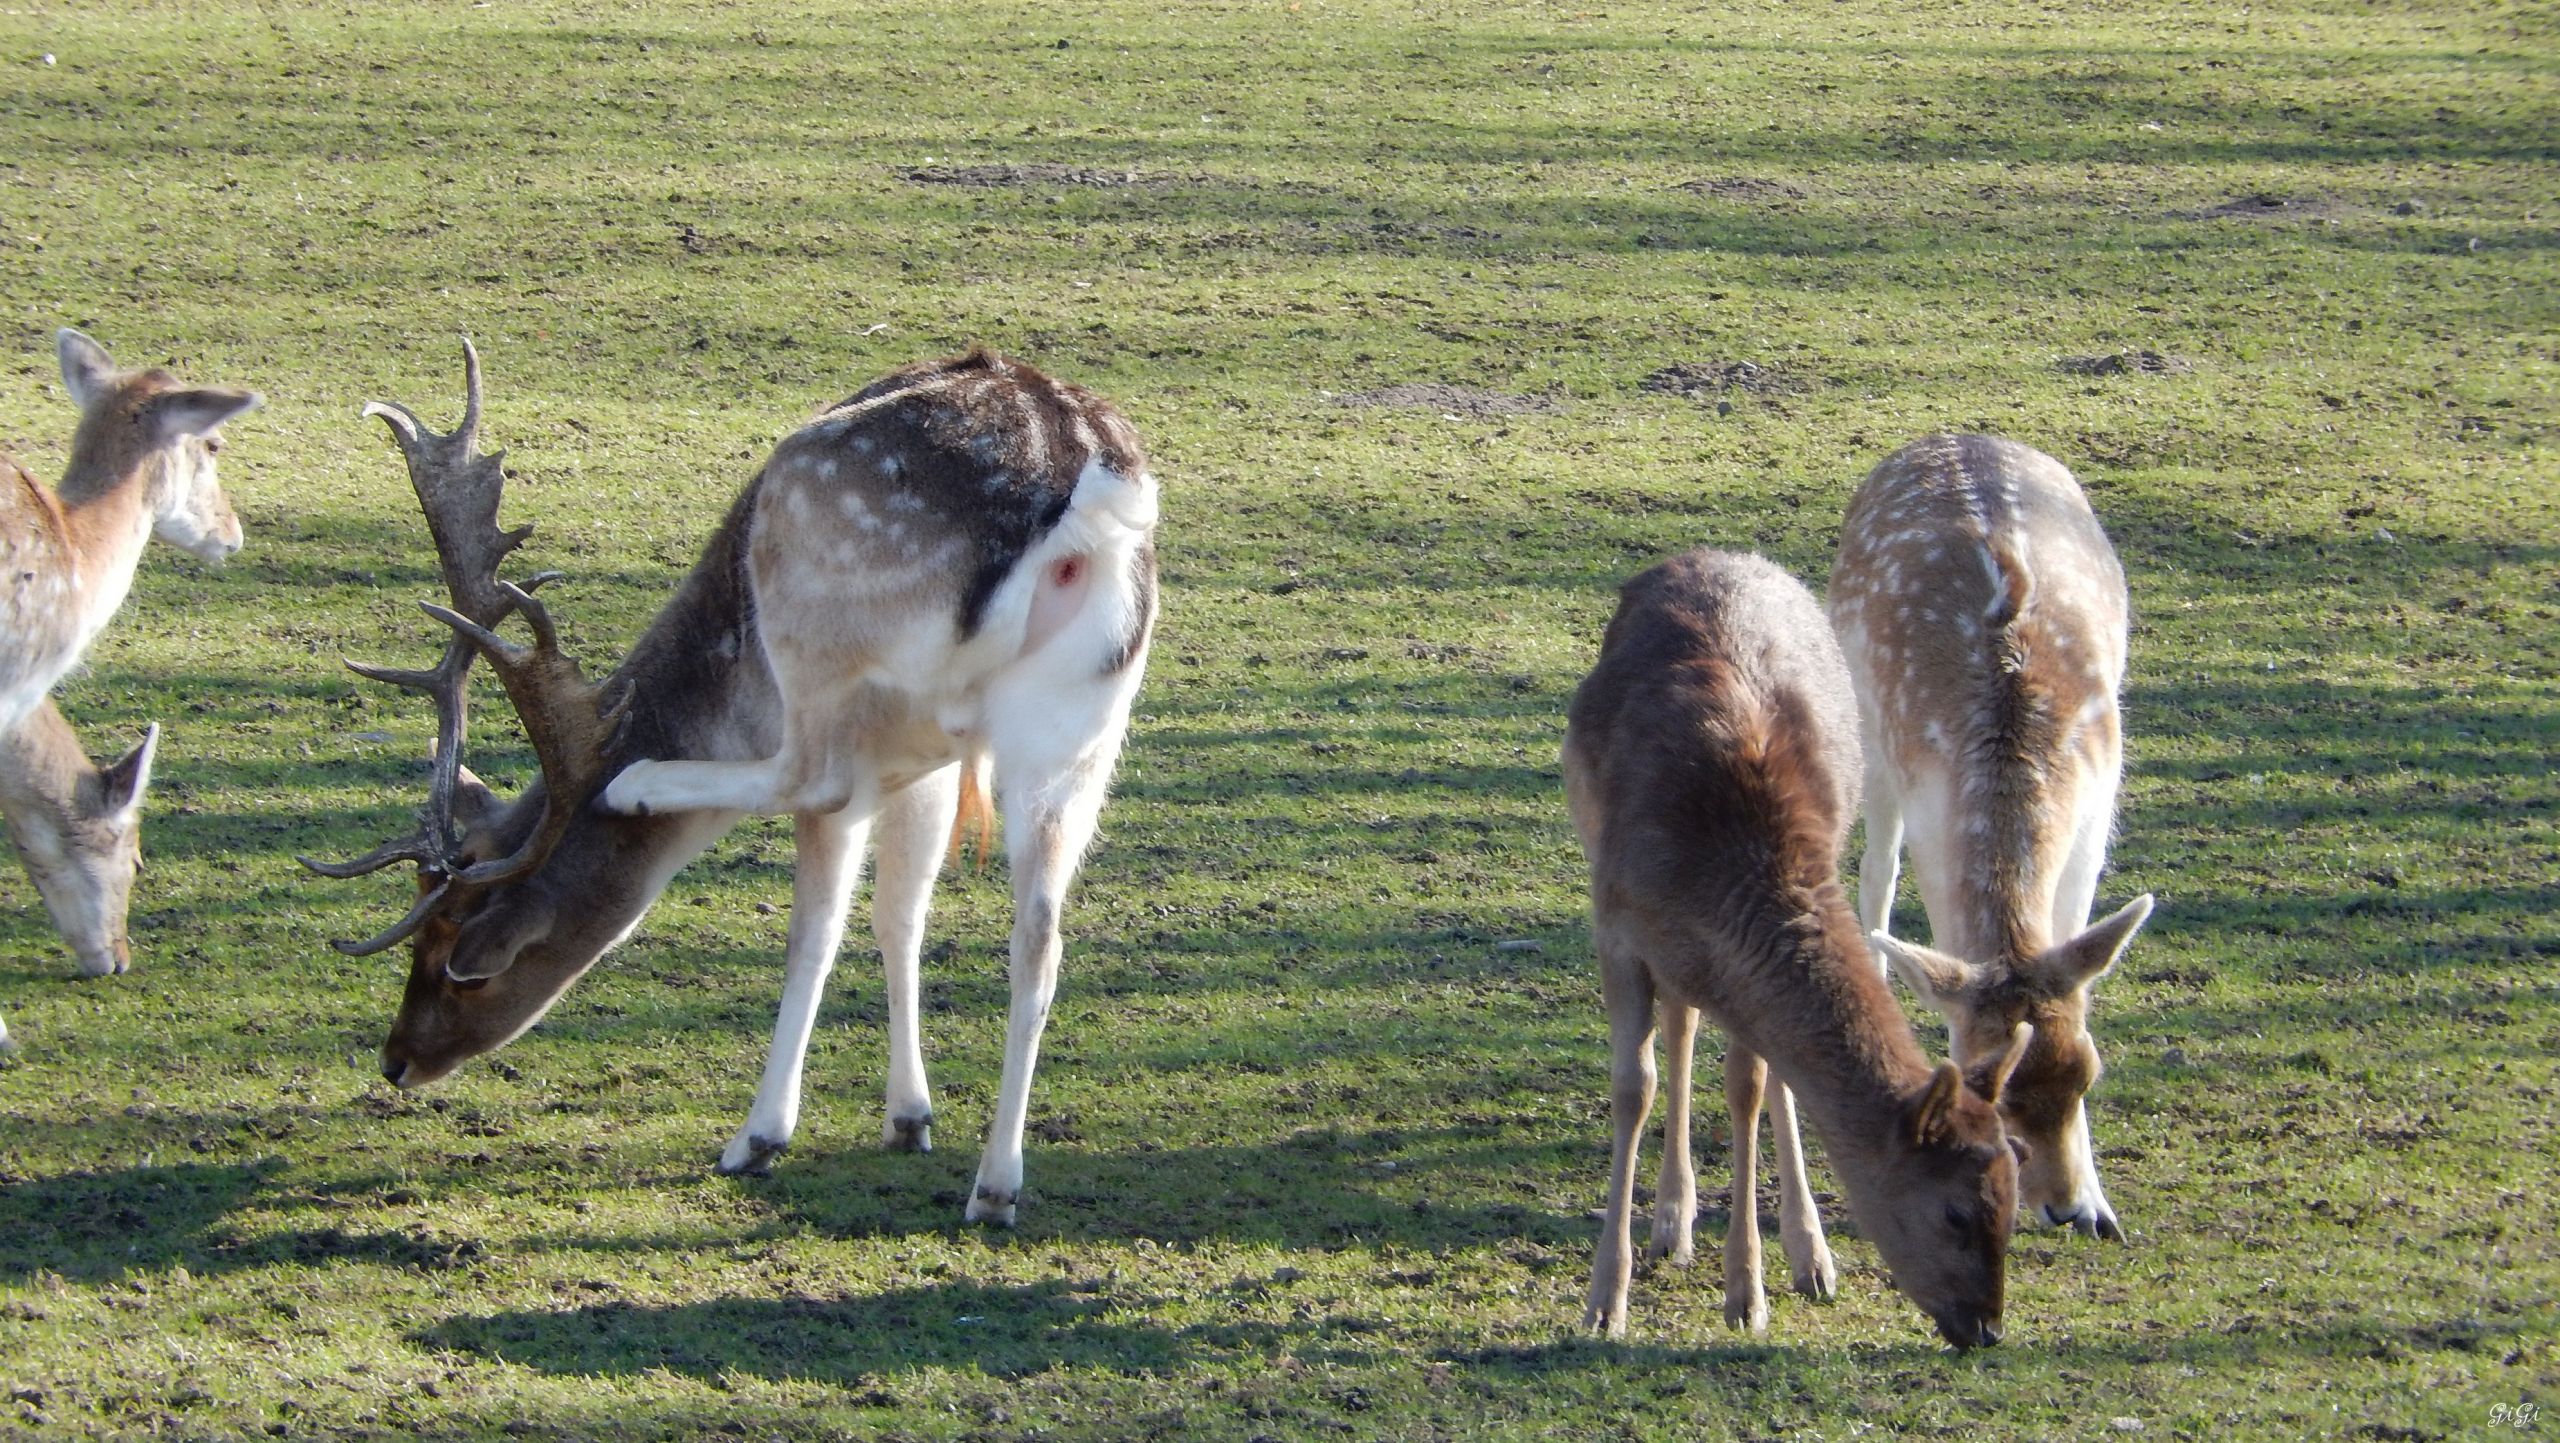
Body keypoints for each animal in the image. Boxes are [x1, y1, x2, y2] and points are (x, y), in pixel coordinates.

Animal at [302, 342, 1172, 1222]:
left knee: (813, 780)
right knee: (1040, 934)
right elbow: (900, 916)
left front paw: (766, 1135)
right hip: (1079, 729)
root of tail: (1084, 494)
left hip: (820, 632)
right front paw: (908, 1115)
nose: (396, 1059)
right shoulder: (925, 756)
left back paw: (641, 783)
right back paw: (996, 1183)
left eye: (463, 963)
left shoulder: (883, 746)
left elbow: (819, 932)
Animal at [1546, 552, 2027, 1350]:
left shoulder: (1735, 968)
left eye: (2013, 1200)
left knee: (1732, 1051)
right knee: (1681, 1026)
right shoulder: (1616, 924)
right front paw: (1603, 1302)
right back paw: (1672, 1223)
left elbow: (1748, 1085)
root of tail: (1710, 556)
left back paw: (1806, 1254)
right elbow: (1633, 1087)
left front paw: (1748, 1293)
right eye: (1957, 1211)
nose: (1986, 1325)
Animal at [1832, 434, 2150, 1243]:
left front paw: (2103, 1203)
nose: (2062, 1207)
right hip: (1869, 727)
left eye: (2087, 1072)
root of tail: (1947, 435)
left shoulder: (2096, 816)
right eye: (1990, 1087)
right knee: (1876, 870)